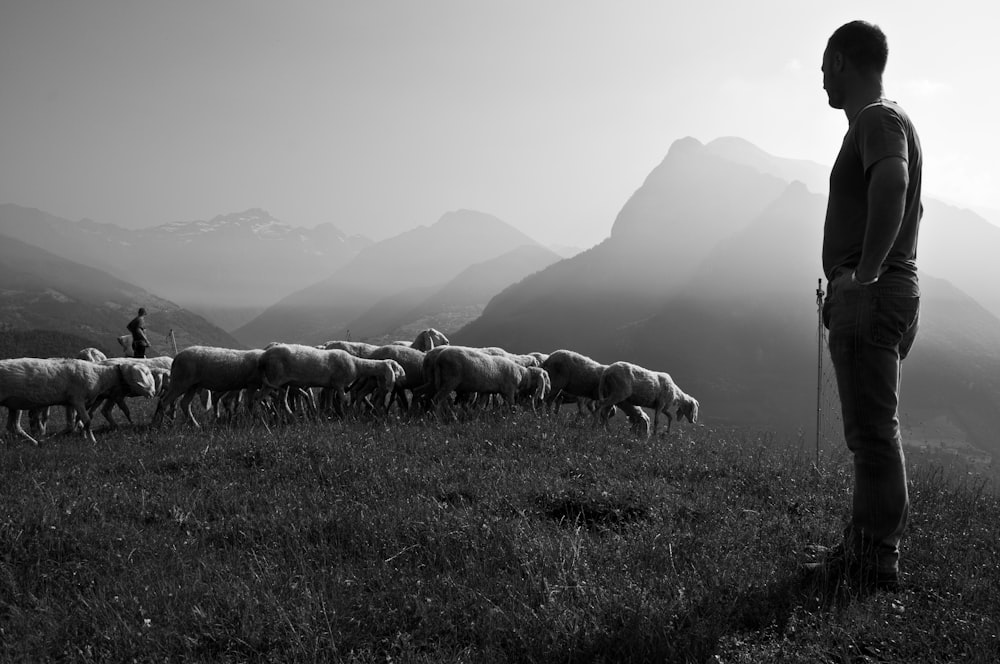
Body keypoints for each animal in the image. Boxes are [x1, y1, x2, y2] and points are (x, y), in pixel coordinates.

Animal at [0, 356, 155, 444]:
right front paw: (92, 441)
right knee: (15, 426)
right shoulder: (77, 399)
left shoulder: (72, 402)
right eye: (146, 373)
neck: (101, 376)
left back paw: (34, 442)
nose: (153, 393)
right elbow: (86, 421)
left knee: (13, 427)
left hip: (13, 404)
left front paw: (79, 436)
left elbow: (74, 423)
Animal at [258, 344, 406, 418]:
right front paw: (346, 416)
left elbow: (329, 402)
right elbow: (344, 400)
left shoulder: (330, 385)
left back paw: (289, 417)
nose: (405, 375)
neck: (356, 364)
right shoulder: (339, 384)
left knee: (281, 401)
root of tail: (264, 357)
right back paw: (260, 417)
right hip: (273, 378)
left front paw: (328, 414)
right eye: (397, 367)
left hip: (283, 384)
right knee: (259, 397)